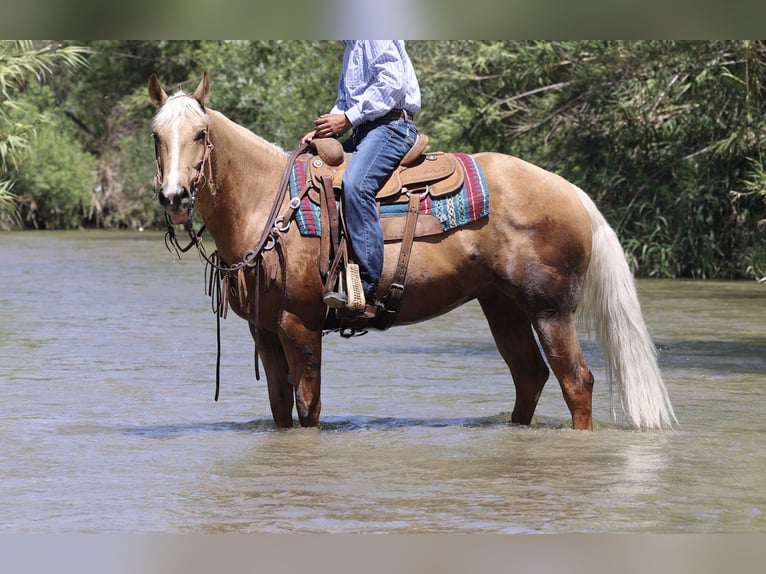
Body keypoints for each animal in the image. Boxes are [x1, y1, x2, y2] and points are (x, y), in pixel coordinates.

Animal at [148, 72, 676, 431]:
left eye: (200, 135)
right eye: (156, 136)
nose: (175, 197)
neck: (267, 205)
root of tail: (572, 192)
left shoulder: (301, 325)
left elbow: (308, 406)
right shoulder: (264, 329)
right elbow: (281, 408)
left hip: (550, 309)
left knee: (577, 383)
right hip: (501, 306)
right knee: (529, 376)